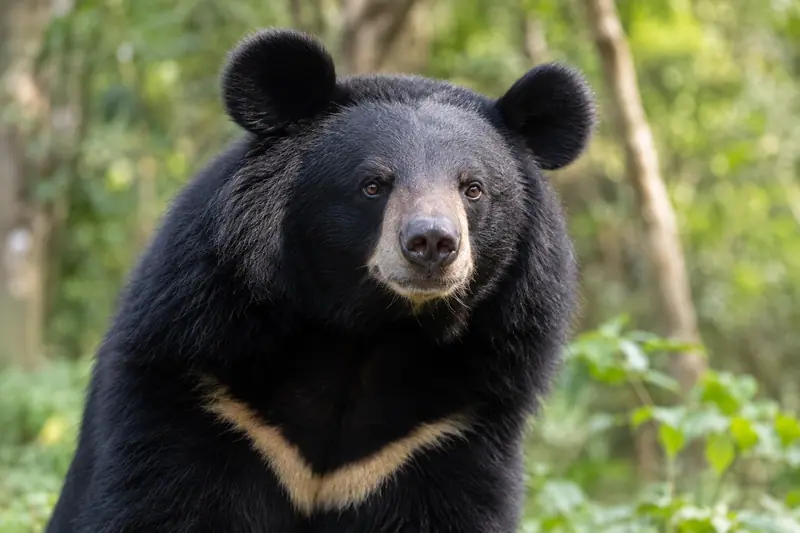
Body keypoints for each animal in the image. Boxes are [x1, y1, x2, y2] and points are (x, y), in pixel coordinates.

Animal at [46, 28, 595, 533]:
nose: (433, 243)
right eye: (373, 184)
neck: (366, 334)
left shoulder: (442, 435)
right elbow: (160, 503)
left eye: (473, 189)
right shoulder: (199, 387)